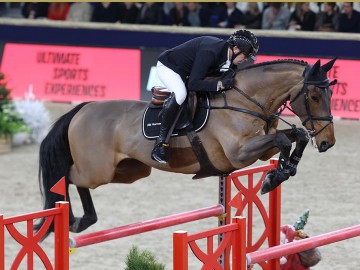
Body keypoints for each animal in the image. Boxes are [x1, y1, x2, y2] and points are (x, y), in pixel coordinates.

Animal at [35, 57, 336, 236]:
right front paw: (274, 178)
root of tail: (83, 109)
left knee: (76, 179)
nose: (327, 142)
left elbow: (295, 135)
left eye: (331, 93)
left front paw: (284, 170)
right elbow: (285, 139)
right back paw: (72, 218)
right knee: (68, 177)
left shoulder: (261, 150)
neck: (245, 100)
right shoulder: (240, 153)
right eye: (313, 96)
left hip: (130, 171)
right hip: (97, 170)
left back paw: (81, 220)